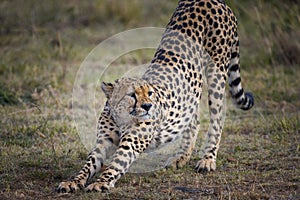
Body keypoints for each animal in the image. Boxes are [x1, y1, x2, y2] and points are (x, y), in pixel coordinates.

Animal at [56, 0, 253, 192]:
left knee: (217, 118)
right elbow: (89, 163)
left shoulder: (132, 142)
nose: (148, 106)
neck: (121, 117)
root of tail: (214, 1)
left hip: (216, 73)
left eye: (149, 93)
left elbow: (117, 163)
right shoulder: (104, 141)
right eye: (132, 95)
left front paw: (101, 182)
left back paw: (207, 160)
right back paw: (181, 157)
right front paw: (73, 182)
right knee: (193, 118)